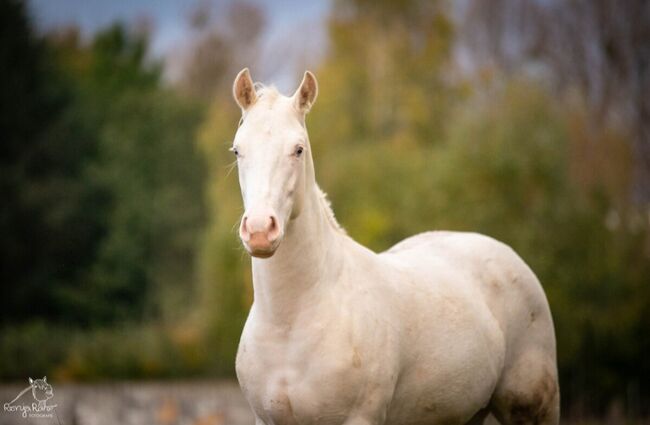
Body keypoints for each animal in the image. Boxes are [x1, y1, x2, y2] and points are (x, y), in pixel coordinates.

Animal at [229, 68, 556, 422]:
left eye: (298, 149)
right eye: (237, 150)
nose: (260, 231)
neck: (289, 324)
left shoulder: (361, 417)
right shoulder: (264, 418)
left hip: (533, 408)